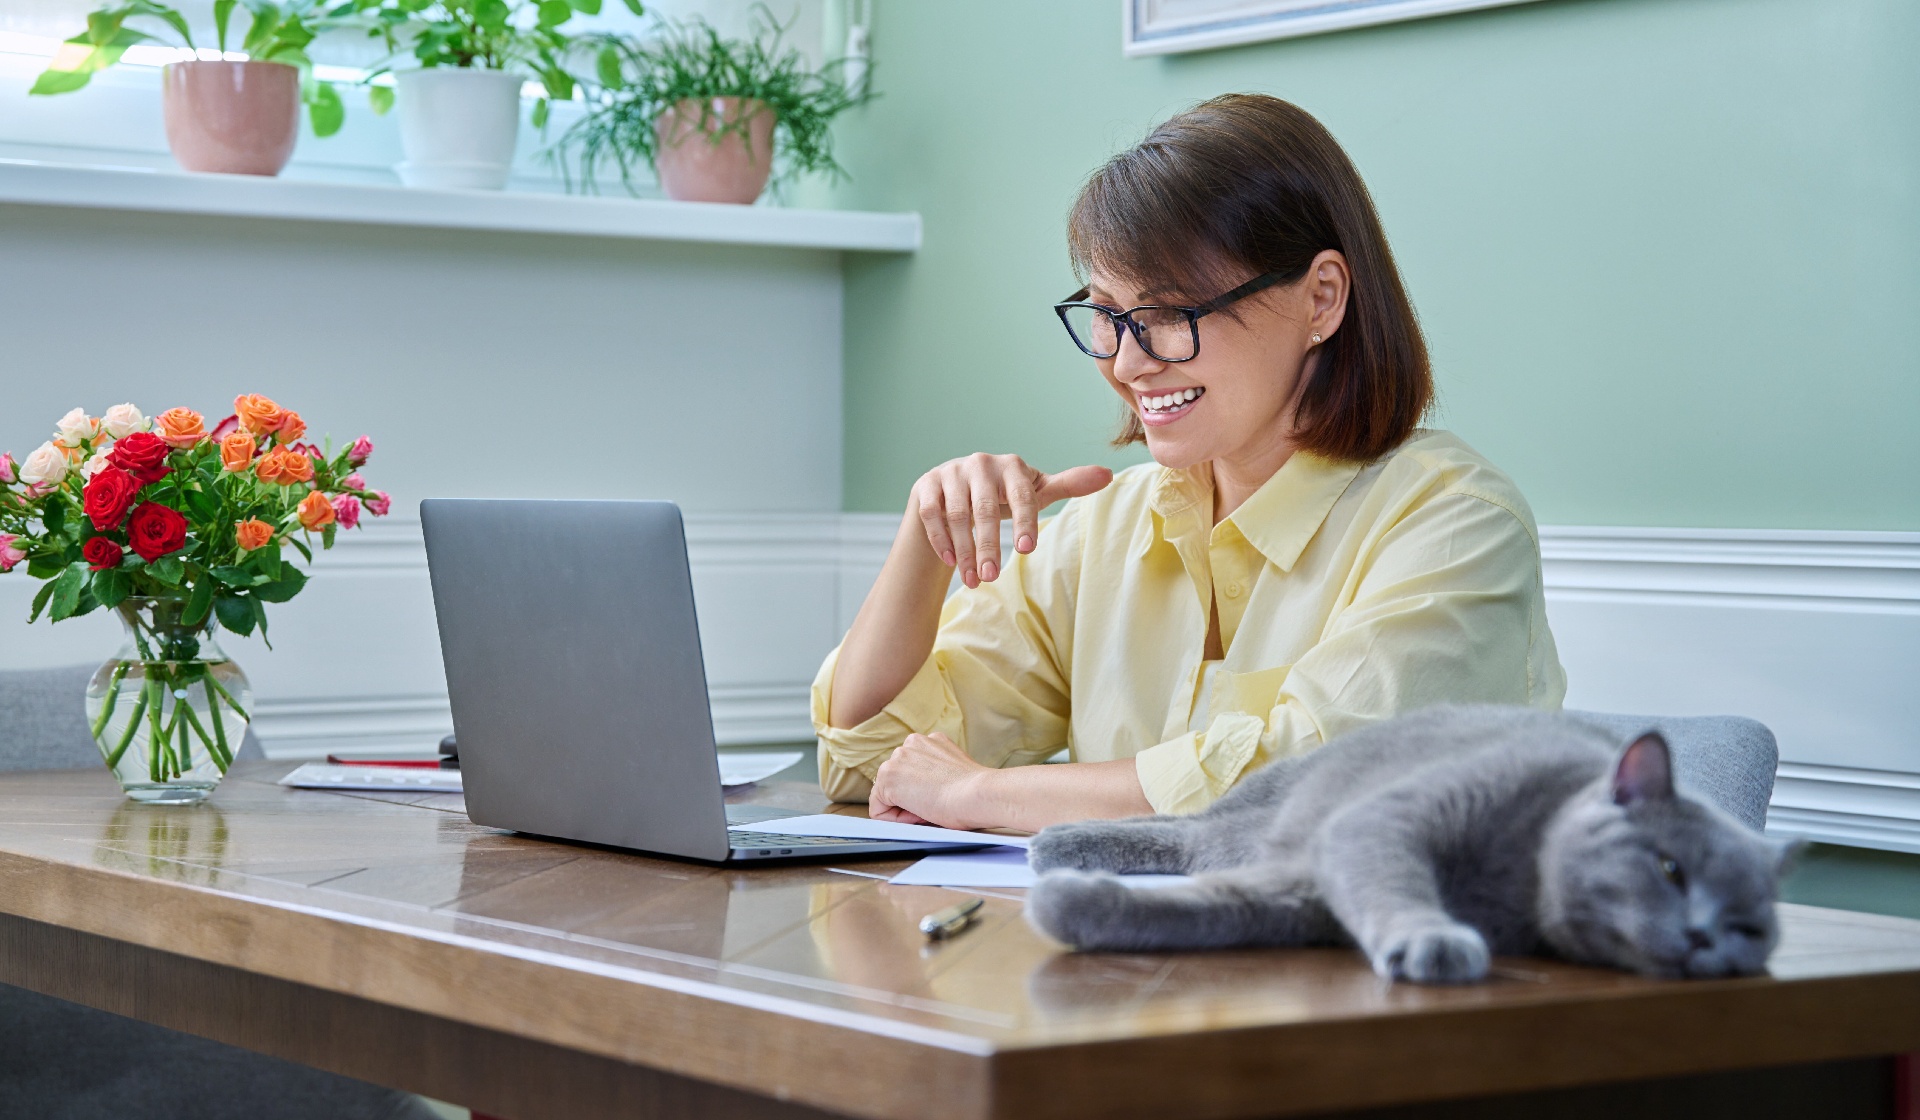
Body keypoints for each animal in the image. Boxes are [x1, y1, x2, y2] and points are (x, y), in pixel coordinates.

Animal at [1029, 710, 1789, 983]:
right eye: (1671, 868)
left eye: (1749, 928)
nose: (1703, 938)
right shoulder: (1382, 824)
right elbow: (1391, 877)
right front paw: (1437, 941)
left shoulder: (1304, 894)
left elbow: (1213, 910)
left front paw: (1074, 909)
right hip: (1271, 791)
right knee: (1185, 826)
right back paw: (1055, 842)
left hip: (1254, 835)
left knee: (1196, 848)